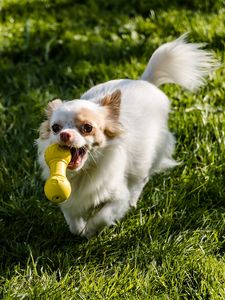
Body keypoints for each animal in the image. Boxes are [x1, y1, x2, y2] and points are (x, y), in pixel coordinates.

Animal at [37, 34, 216, 237]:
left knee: (140, 181)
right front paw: (81, 230)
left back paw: (133, 201)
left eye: (87, 128)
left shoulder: (117, 197)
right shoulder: (70, 201)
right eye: (55, 128)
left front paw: (90, 231)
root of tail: (145, 81)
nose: (65, 135)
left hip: (148, 159)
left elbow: (102, 216)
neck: (84, 172)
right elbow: (73, 223)